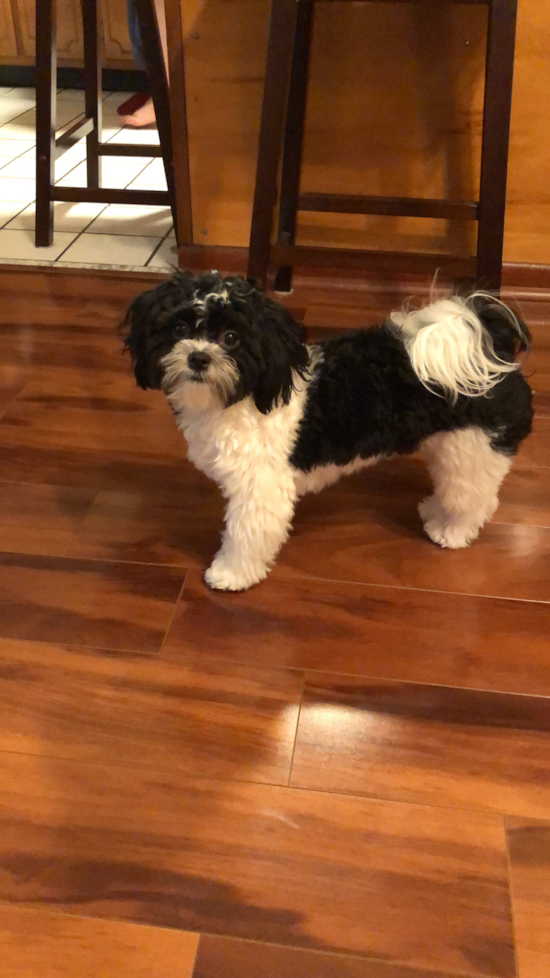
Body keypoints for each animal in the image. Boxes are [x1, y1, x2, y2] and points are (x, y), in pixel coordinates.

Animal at [123, 268, 532, 588]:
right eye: (178, 328)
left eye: (231, 338)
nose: (198, 357)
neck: (244, 396)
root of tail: (488, 345)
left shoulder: (261, 488)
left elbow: (246, 534)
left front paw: (231, 573)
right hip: (448, 445)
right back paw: (435, 511)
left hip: (474, 447)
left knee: (475, 498)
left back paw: (451, 531)